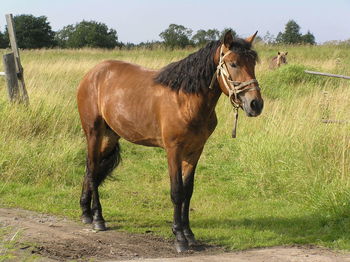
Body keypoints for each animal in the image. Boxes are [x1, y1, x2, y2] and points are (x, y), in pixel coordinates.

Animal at [76, 30, 262, 252]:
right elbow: (177, 191)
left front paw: (189, 234)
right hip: (93, 133)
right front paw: (179, 237)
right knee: (93, 170)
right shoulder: (173, 150)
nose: (256, 104)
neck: (185, 100)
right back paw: (98, 218)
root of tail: (91, 74)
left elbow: (188, 191)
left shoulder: (195, 151)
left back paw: (86, 212)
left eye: (253, 63)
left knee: (90, 169)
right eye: (233, 63)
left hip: (110, 136)